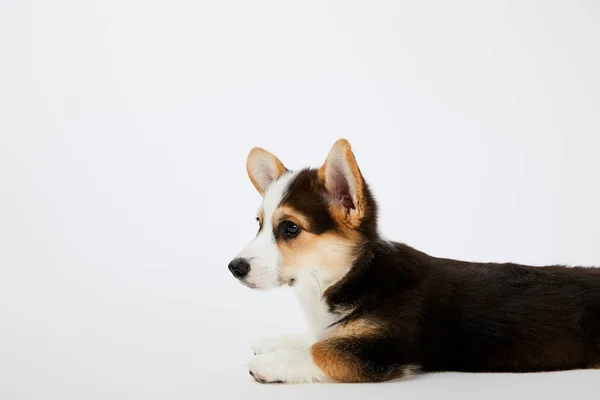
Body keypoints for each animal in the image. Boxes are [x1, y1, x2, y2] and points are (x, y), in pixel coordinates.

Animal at [226, 139, 600, 382]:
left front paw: (271, 363)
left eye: (290, 228)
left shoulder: (380, 350)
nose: (234, 268)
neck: (356, 274)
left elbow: (322, 350)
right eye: (259, 223)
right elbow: (317, 337)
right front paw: (273, 343)